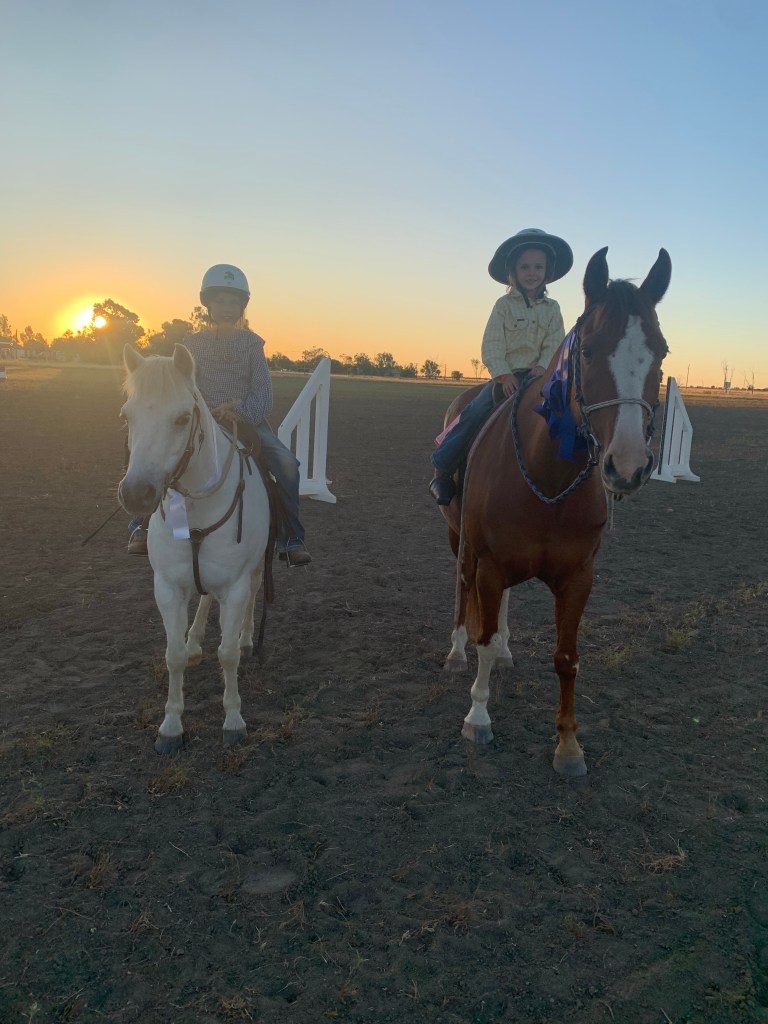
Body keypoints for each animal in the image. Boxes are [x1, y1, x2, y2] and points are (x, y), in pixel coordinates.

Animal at [118, 343, 272, 753]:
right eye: (127, 416)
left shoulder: (234, 586)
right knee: (204, 600)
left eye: (183, 418)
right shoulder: (168, 588)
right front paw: (171, 726)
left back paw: (247, 638)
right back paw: (195, 641)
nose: (136, 493)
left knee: (252, 599)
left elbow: (228, 655)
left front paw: (233, 720)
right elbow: (172, 657)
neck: (198, 512)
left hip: (255, 570)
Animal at [439, 247, 671, 778]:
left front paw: (568, 745)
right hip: (460, 541)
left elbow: (567, 657)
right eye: (587, 352)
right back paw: (457, 652)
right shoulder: (490, 563)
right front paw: (477, 717)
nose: (628, 465)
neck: (548, 478)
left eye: (662, 352)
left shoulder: (577, 577)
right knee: (463, 591)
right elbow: (482, 637)